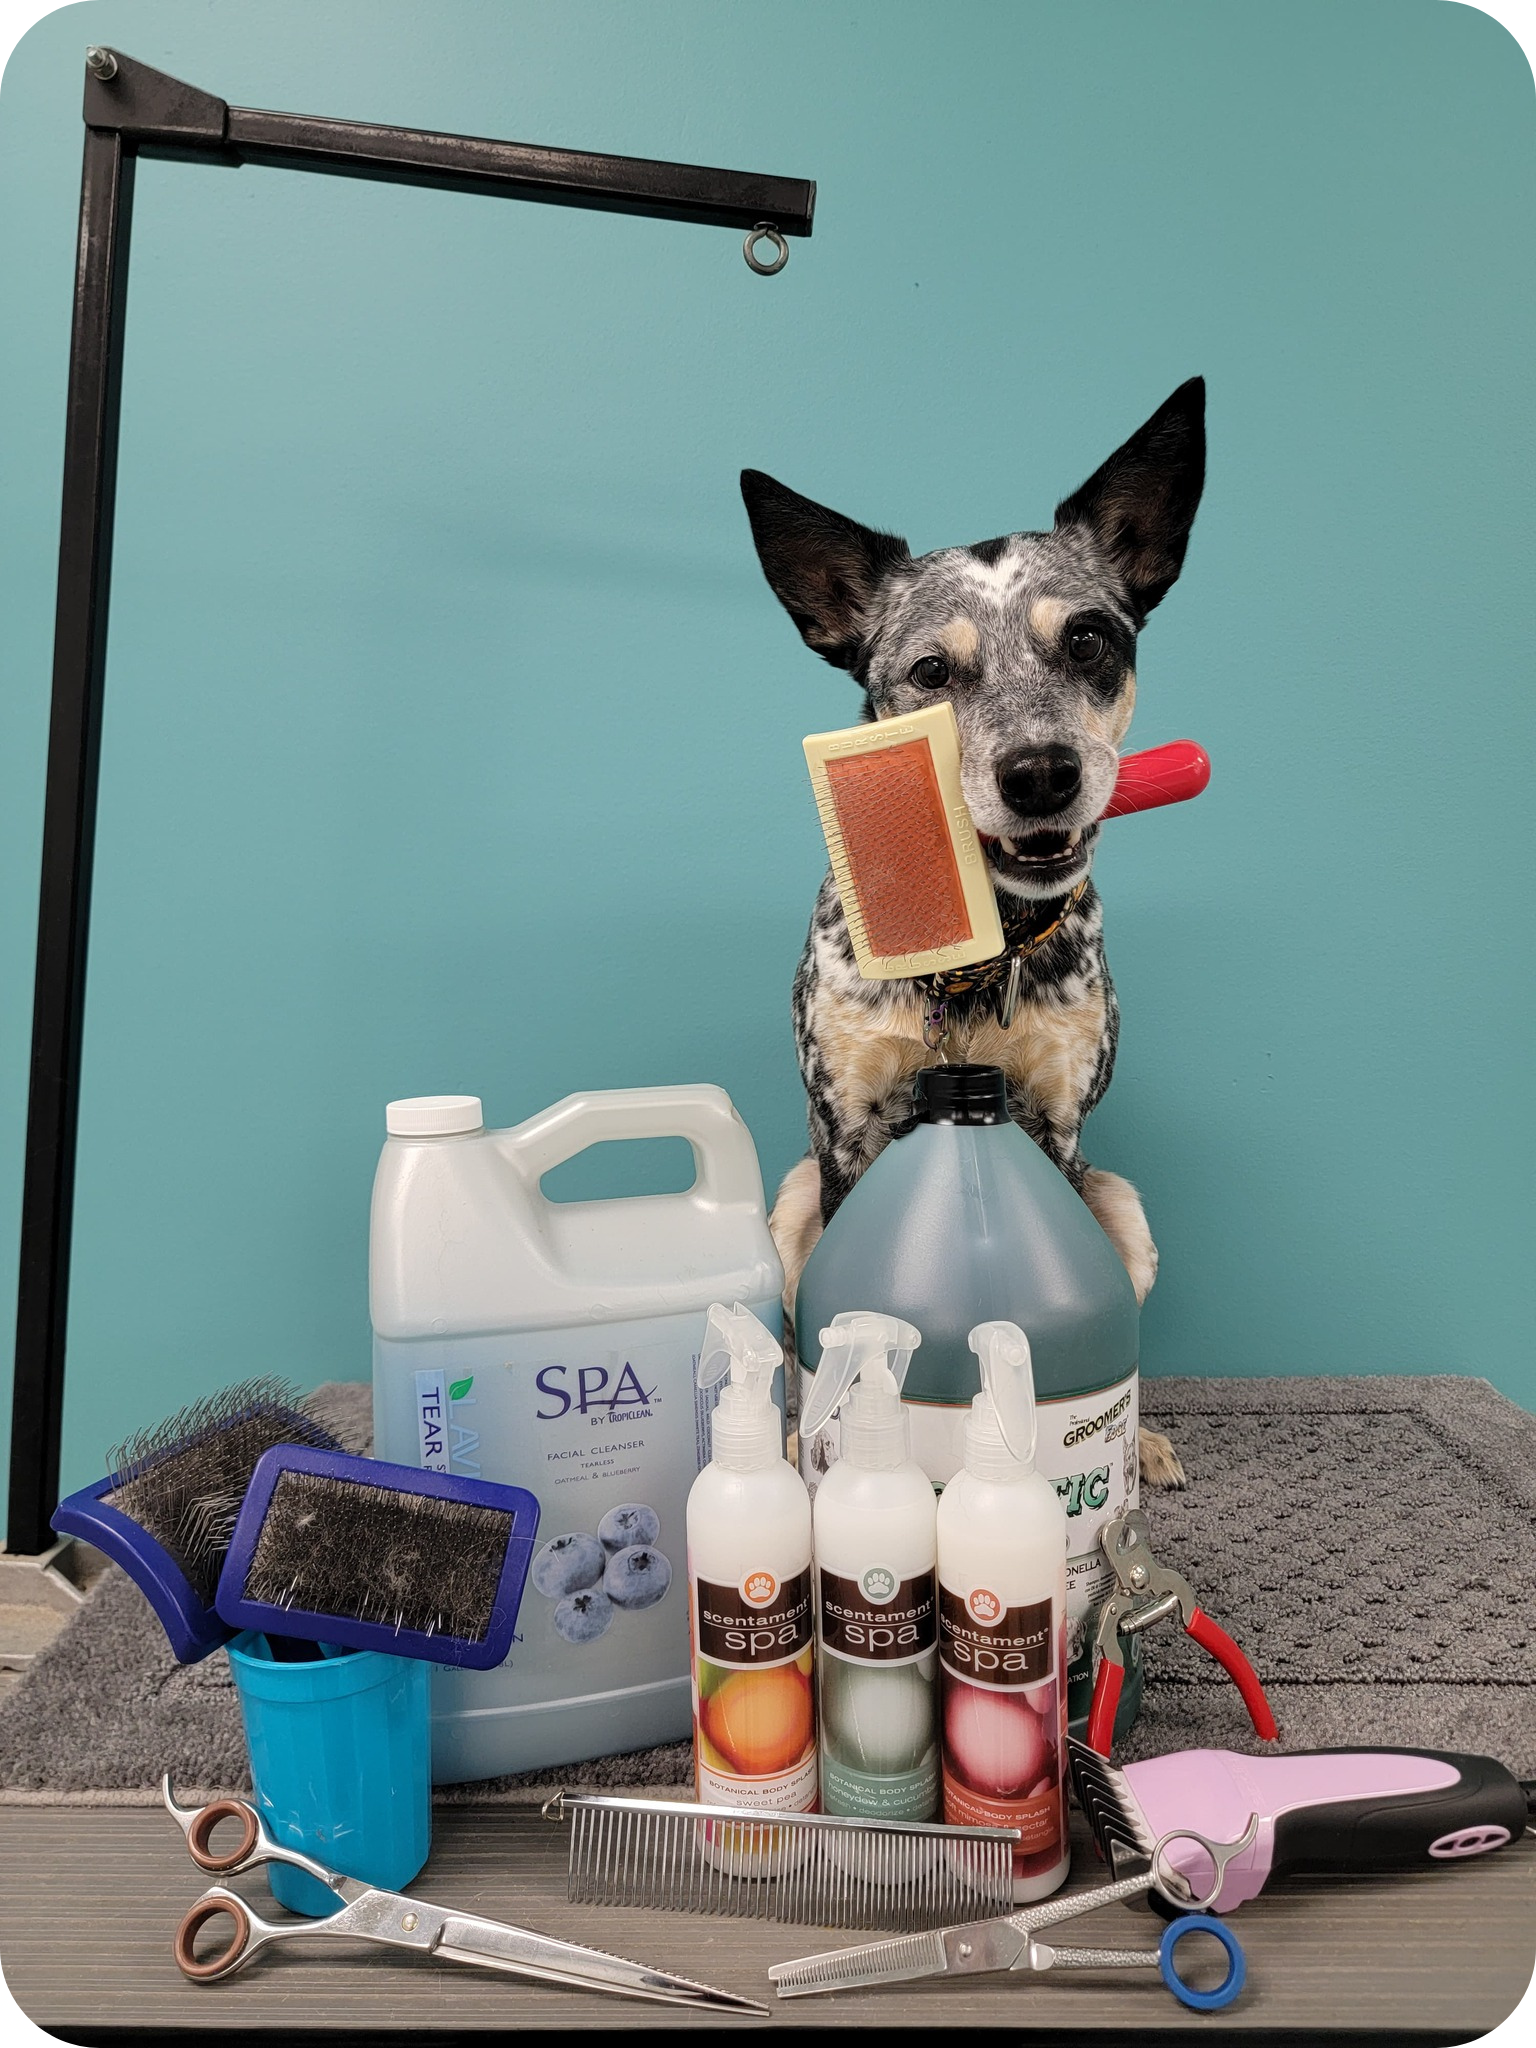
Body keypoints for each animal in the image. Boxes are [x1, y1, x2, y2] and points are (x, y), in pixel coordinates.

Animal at [742, 378, 1206, 1488]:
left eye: (1088, 639)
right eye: (928, 672)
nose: (1039, 772)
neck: (976, 962)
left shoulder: (1059, 1121)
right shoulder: (845, 1127)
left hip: (1123, 1205)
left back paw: (1144, 1438)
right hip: (787, 1201)